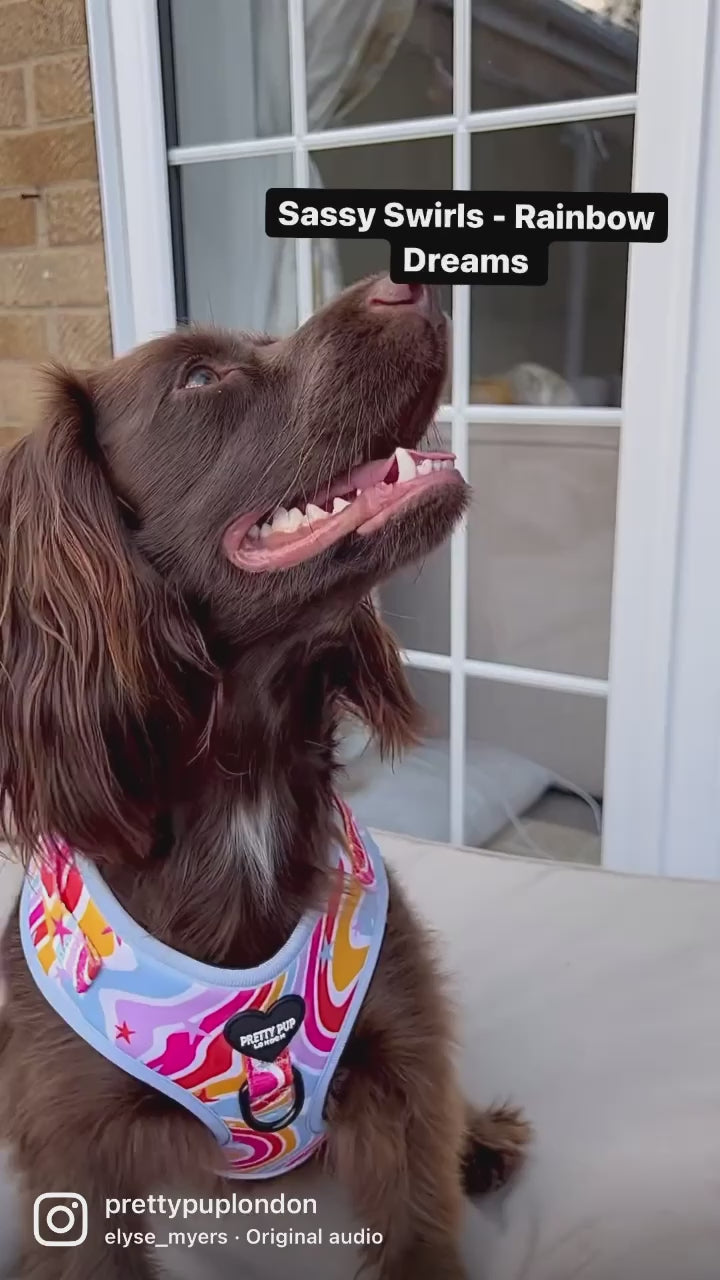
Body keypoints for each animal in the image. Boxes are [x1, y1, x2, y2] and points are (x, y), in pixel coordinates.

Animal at [0, 275, 527, 1274]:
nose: (410, 279)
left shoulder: (403, 1072)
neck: (239, 792)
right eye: (201, 378)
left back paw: (482, 1135)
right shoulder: (71, 1148)